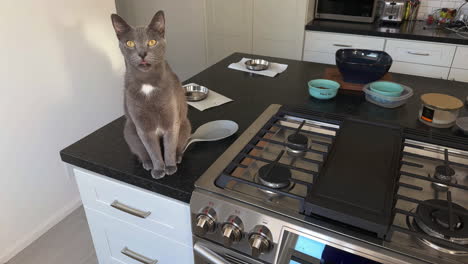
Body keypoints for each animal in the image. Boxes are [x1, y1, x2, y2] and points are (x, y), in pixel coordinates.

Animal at [110, 10, 191, 179]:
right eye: (130, 43)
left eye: (152, 42)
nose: (142, 53)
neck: (147, 82)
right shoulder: (143, 128)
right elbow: (153, 151)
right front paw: (159, 169)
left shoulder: (171, 122)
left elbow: (169, 147)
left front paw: (170, 167)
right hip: (130, 131)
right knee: (141, 151)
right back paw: (147, 163)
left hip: (185, 125)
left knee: (178, 145)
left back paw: (178, 158)